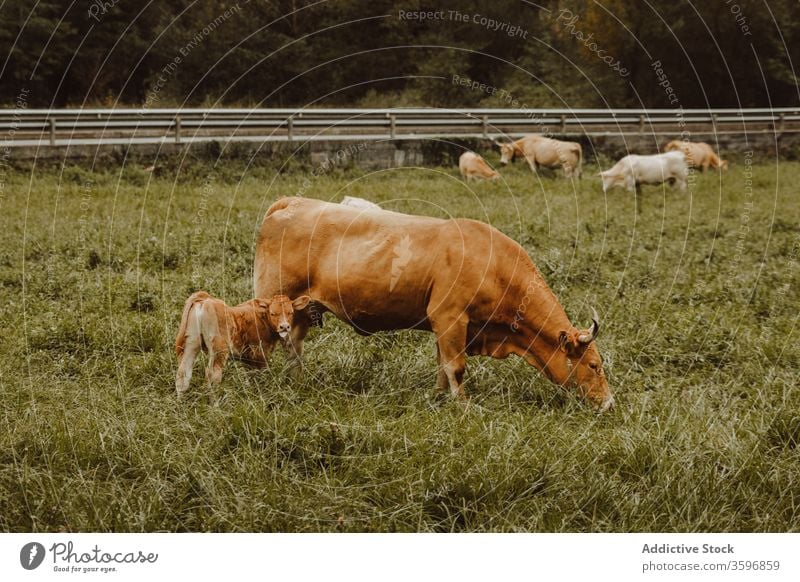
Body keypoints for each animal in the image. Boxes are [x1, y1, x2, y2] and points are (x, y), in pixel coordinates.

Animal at [174, 290, 310, 396]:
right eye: (273, 313)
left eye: (291, 312)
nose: (284, 327)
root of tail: (206, 299)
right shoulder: (260, 353)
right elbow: (261, 375)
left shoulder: (248, 358)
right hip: (219, 348)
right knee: (212, 374)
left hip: (191, 342)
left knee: (183, 372)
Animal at [255, 196, 612, 410]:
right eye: (594, 365)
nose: (608, 404)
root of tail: (291, 202)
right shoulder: (451, 319)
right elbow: (455, 366)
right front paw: (463, 405)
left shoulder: (445, 326)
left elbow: (443, 363)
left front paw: (439, 396)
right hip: (274, 303)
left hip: (301, 311)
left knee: (295, 347)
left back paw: (300, 382)